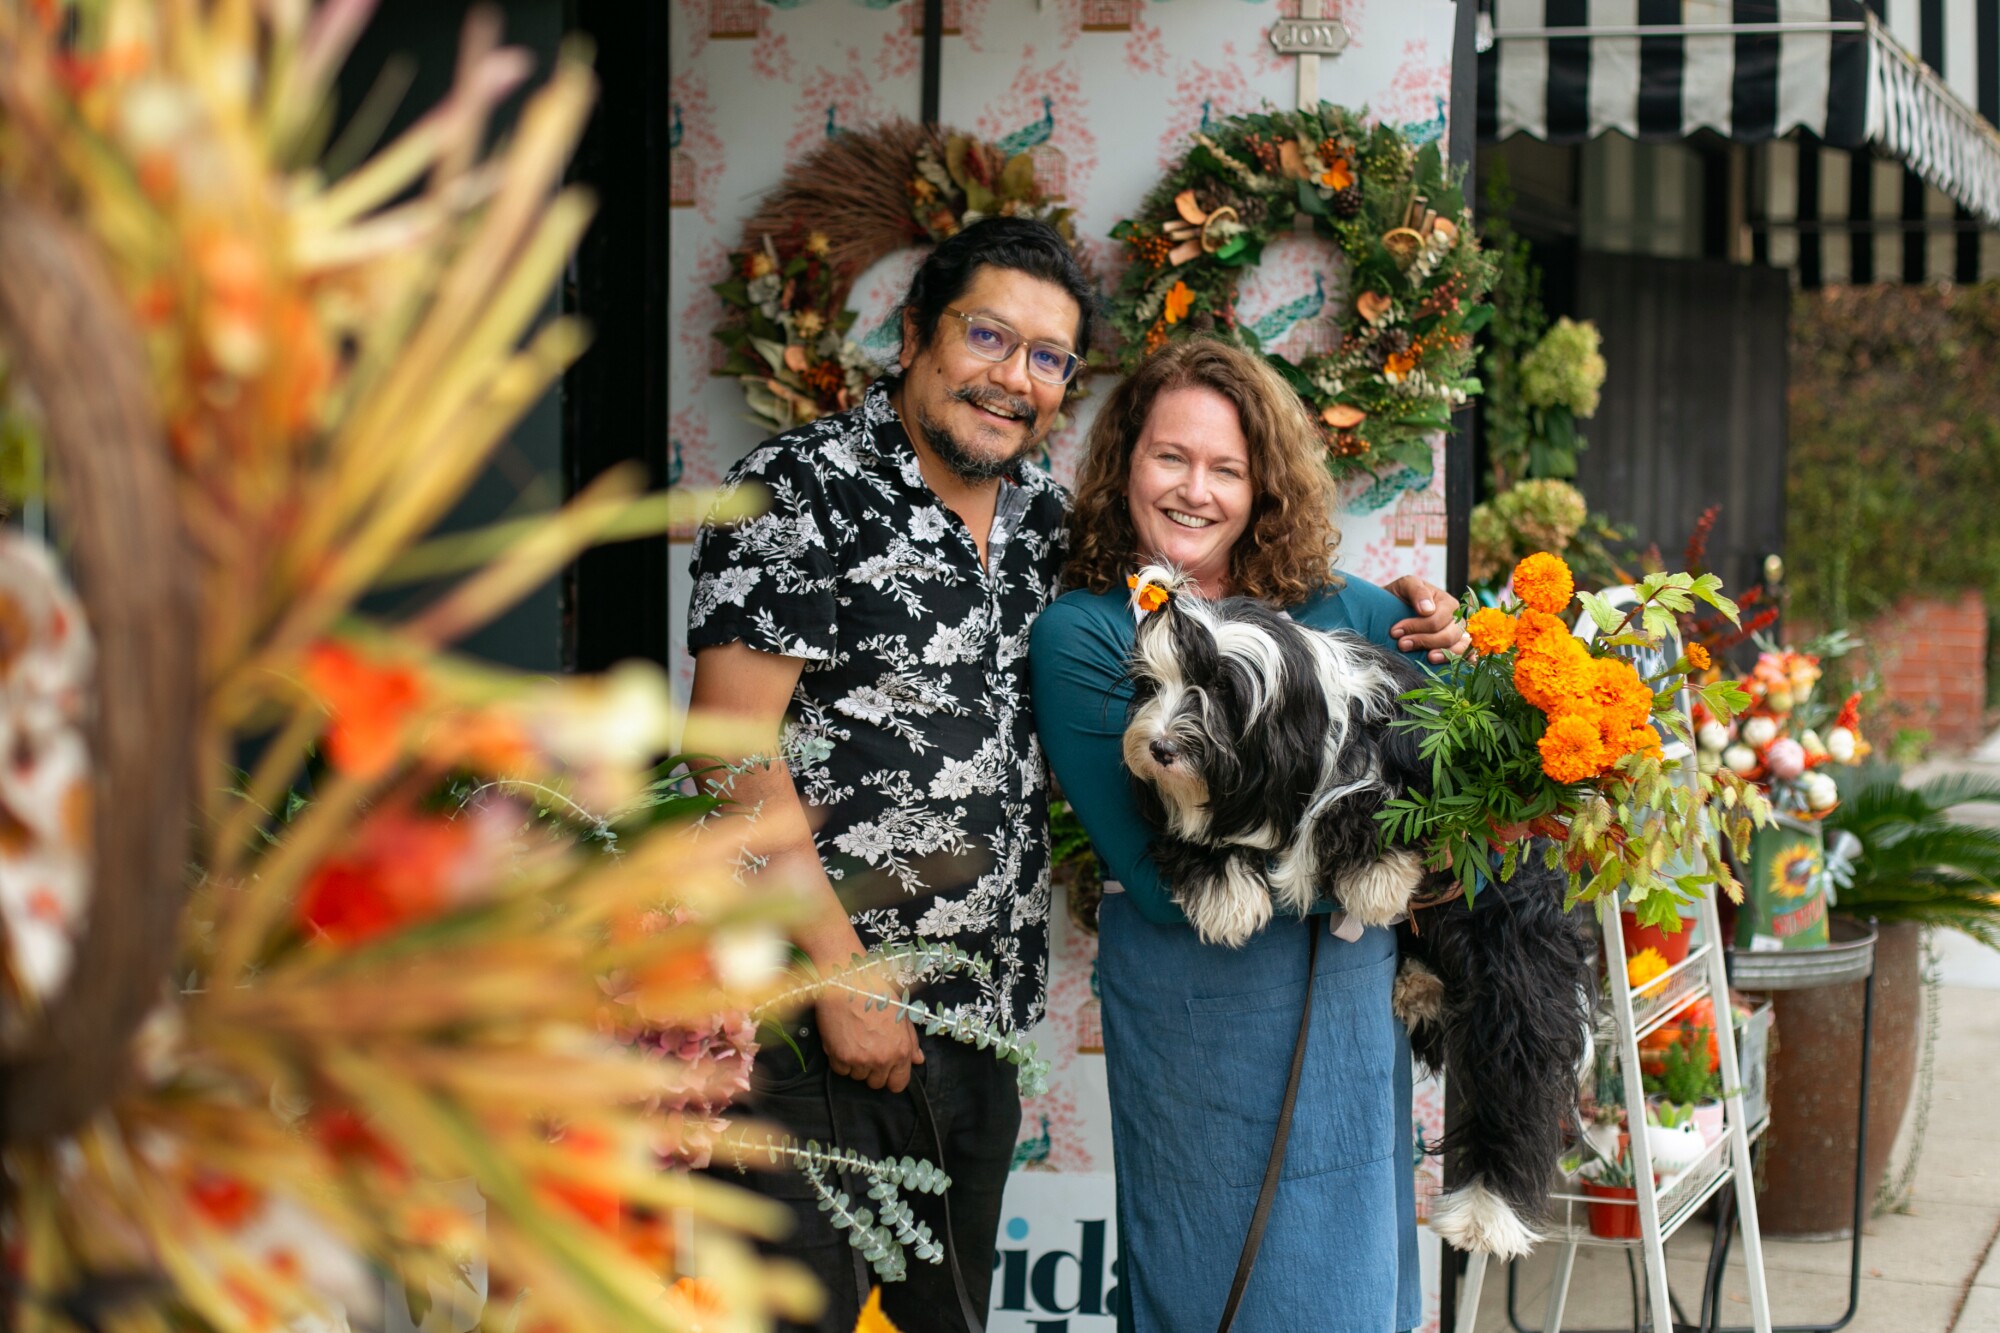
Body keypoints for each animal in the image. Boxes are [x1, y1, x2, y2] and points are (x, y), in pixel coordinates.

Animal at [1128, 564, 1592, 1264]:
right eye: (1154, 684)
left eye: (1219, 691)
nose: (1156, 748)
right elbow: (1199, 830)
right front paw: (1226, 890)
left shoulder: (1415, 763)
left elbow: (1385, 806)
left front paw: (1375, 876)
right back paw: (1420, 985)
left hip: (1513, 951)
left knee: (1514, 1073)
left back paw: (1487, 1213)